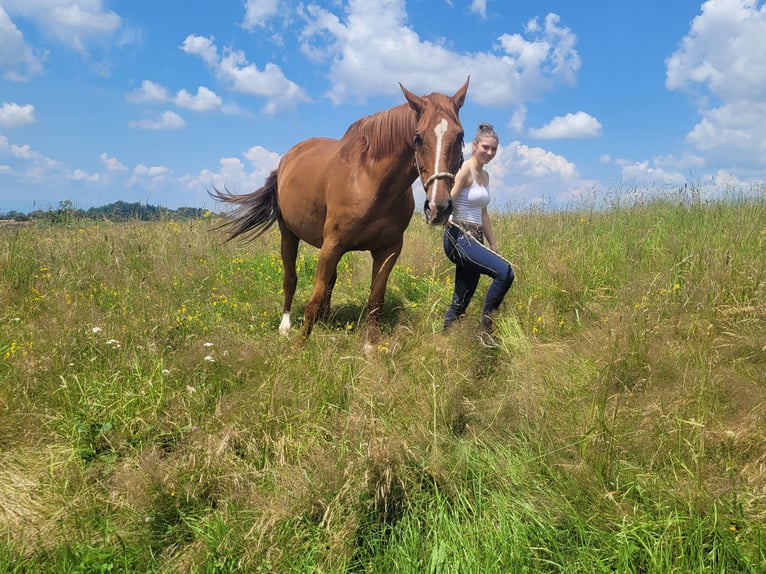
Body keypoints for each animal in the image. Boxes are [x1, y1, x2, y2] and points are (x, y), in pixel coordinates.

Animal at [213, 80, 472, 352]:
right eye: (418, 137)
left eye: (460, 135)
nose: (438, 207)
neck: (368, 180)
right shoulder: (332, 244)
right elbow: (314, 298)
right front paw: (300, 346)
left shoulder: (388, 249)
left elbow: (375, 299)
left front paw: (370, 348)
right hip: (289, 235)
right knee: (290, 278)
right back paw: (285, 326)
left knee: (329, 281)